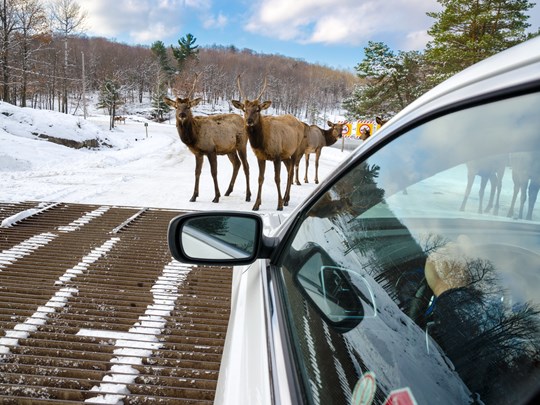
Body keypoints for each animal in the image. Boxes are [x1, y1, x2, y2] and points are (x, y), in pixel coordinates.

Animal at [163, 74, 250, 202]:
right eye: (176, 106)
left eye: (188, 106)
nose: (182, 115)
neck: (194, 137)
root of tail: (244, 120)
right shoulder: (198, 153)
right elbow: (197, 172)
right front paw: (193, 196)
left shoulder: (211, 149)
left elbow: (214, 172)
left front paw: (216, 196)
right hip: (230, 149)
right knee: (237, 164)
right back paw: (228, 191)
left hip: (242, 144)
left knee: (245, 165)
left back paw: (248, 195)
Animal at [232, 74, 306, 211]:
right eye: (244, 109)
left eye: (258, 109)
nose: (249, 121)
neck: (261, 143)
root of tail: (300, 122)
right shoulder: (261, 157)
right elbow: (260, 178)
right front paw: (256, 204)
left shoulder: (276, 155)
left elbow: (277, 178)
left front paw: (279, 205)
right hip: (285, 155)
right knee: (289, 169)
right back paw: (286, 198)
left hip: (296, 150)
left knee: (291, 172)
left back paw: (285, 200)